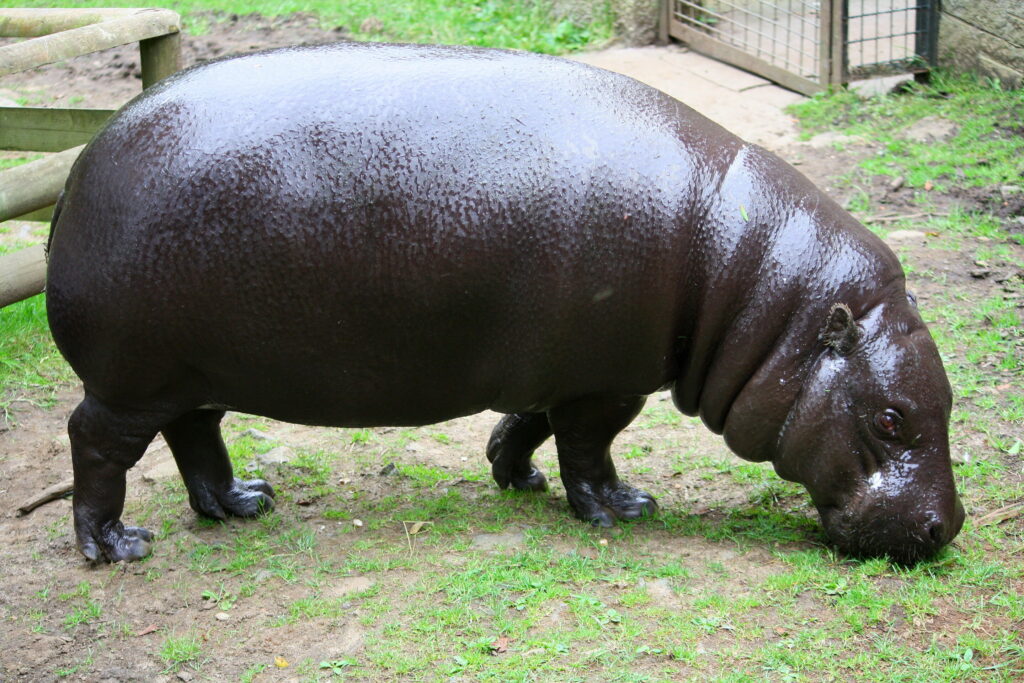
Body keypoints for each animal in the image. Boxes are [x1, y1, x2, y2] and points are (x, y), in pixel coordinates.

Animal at [46, 43, 964, 565]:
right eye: (890, 418)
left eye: (947, 401)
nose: (947, 528)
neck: (751, 285)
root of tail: (80, 165)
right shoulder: (607, 381)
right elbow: (590, 447)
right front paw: (624, 510)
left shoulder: (560, 369)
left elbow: (531, 421)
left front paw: (515, 475)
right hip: (129, 378)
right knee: (95, 442)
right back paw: (116, 548)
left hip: (187, 373)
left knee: (195, 433)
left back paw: (244, 503)